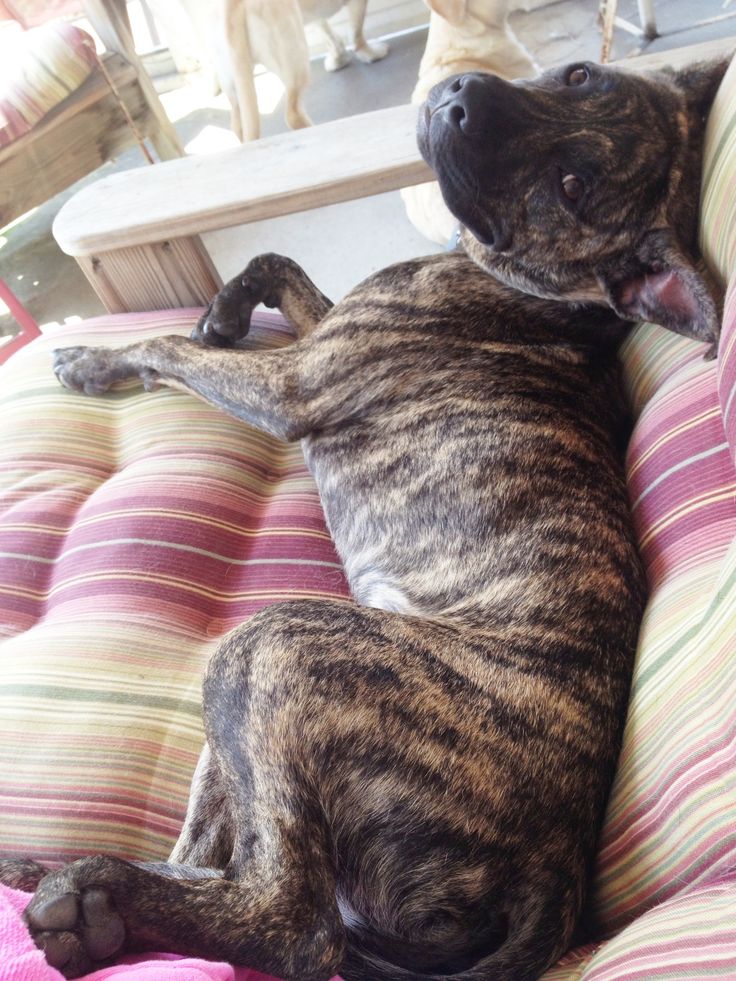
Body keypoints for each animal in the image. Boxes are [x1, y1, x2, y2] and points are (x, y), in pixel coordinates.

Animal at [0, 57, 724, 980]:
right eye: (578, 74)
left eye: (574, 187)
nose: (458, 96)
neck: (545, 295)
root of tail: (557, 868)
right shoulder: (325, 329)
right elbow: (278, 262)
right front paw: (224, 308)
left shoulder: (293, 383)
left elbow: (168, 347)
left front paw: (98, 358)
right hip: (241, 730)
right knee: (218, 859)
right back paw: (70, 885)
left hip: (273, 646)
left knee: (292, 922)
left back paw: (91, 892)